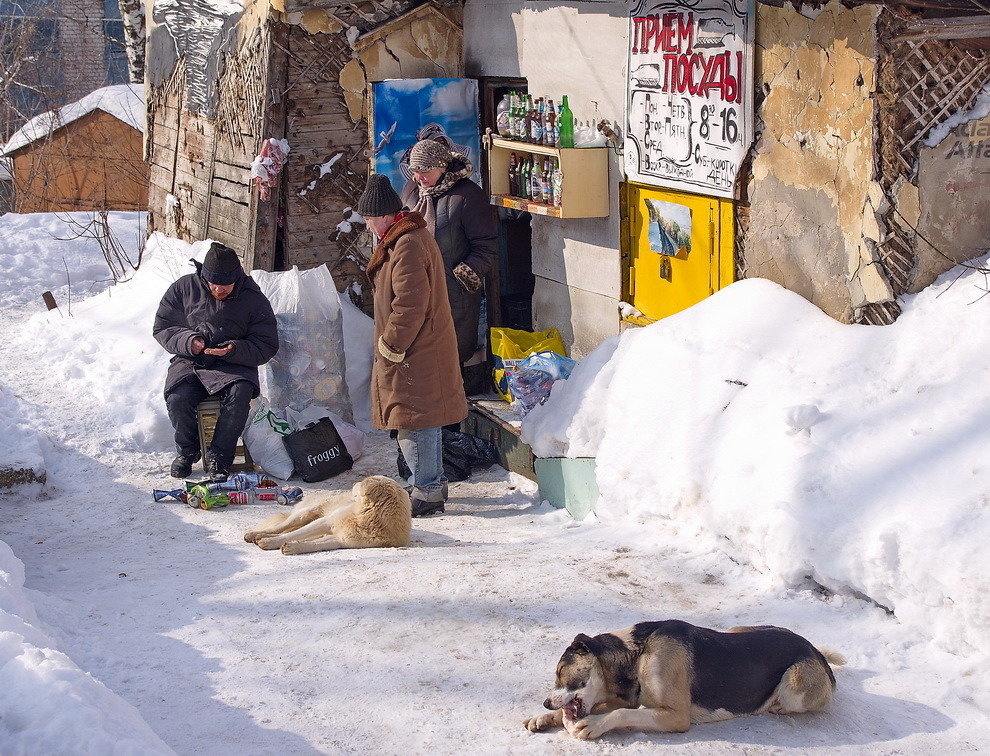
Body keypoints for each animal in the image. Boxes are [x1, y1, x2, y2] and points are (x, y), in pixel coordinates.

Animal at [246, 478, 412, 556]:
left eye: (360, 483)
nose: (353, 482)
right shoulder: (325, 522)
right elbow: (291, 535)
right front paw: (269, 542)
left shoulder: (341, 540)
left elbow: (315, 545)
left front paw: (293, 547)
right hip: (304, 514)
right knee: (283, 527)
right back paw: (255, 535)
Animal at [528, 620, 844, 740]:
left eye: (560, 671)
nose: (545, 703)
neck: (639, 653)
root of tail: (815, 650)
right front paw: (544, 718)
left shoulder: (676, 716)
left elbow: (622, 713)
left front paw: (594, 724)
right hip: (738, 629)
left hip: (796, 682)